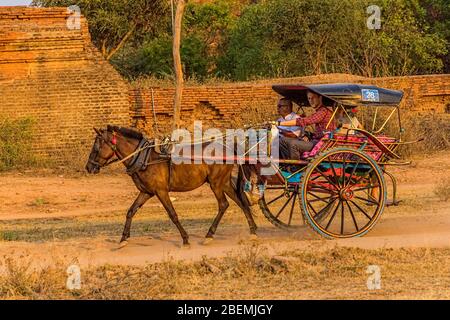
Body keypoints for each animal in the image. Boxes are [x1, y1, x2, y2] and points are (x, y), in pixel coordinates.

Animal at [85, 125, 258, 248]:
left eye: (96, 147)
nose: (88, 167)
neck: (144, 157)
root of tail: (229, 149)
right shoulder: (146, 192)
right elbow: (131, 211)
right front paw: (123, 239)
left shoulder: (161, 191)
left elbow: (172, 214)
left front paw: (185, 239)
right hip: (224, 182)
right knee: (240, 202)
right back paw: (253, 231)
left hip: (216, 183)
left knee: (223, 204)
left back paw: (209, 235)